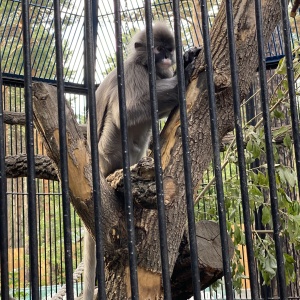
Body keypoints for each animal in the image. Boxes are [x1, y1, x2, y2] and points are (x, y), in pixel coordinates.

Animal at [82, 22, 199, 298]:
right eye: (158, 49)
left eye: (169, 49)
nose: (167, 58)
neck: (146, 67)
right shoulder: (131, 74)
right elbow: (128, 111)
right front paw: (184, 71)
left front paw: (185, 59)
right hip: (108, 149)